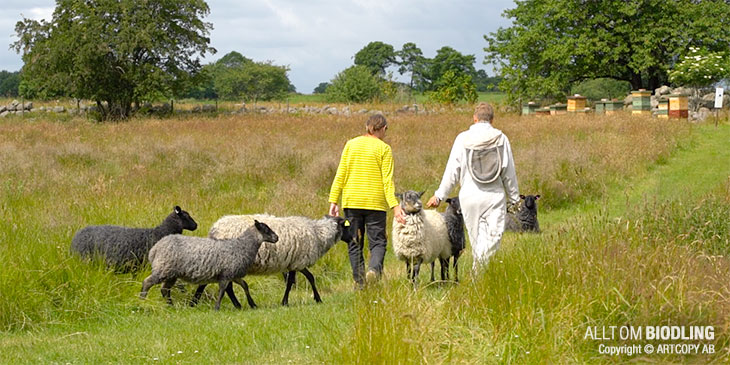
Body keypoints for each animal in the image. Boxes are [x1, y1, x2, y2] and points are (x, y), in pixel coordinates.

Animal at [140, 219, 278, 310]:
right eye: (266, 229)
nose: (277, 238)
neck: (242, 246)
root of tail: (155, 249)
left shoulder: (233, 274)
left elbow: (245, 285)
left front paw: (252, 304)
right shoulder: (226, 274)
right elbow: (222, 291)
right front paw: (217, 307)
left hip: (171, 273)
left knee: (164, 290)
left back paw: (171, 306)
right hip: (163, 268)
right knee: (147, 282)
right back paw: (142, 300)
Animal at [191, 213, 352, 308]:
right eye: (347, 227)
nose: (353, 239)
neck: (319, 234)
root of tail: (214, 229)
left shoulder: (295, 263)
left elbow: (308, 278)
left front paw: (317, 299)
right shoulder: (298, 262)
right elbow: (293, 282)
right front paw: (286, 302)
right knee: (223, 285)